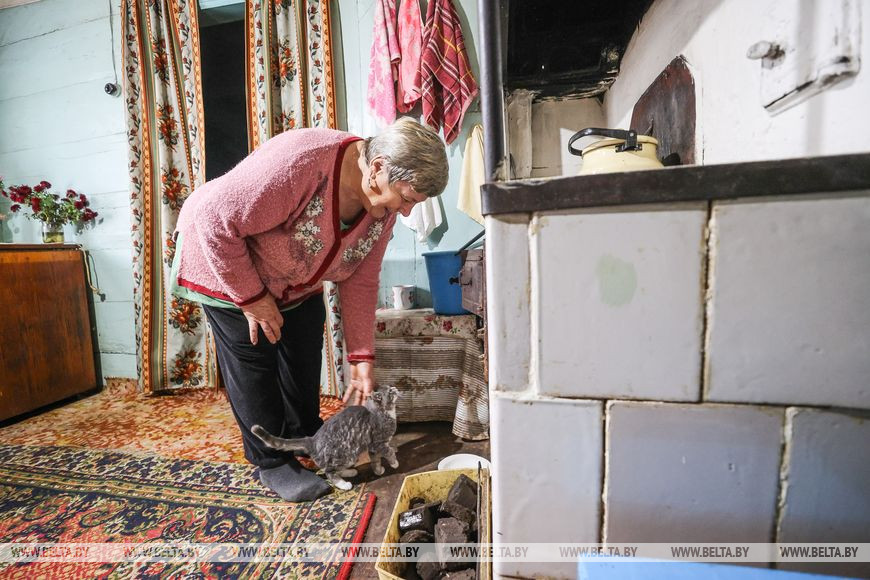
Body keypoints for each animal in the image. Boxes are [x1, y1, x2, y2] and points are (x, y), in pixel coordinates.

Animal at [251, 385, 400, 491]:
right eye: (390, 392)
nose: (396, 388)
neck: (381, 412)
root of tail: (312, 440)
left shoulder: (373, 447)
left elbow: (376, 460)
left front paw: (379, 470)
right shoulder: (378, 442)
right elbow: (388, 452)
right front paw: (394, 463)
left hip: (348, 457)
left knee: (336, 470)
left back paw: (350, 472)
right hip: (344, 454)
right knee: (329, 472)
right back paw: (344, 484)